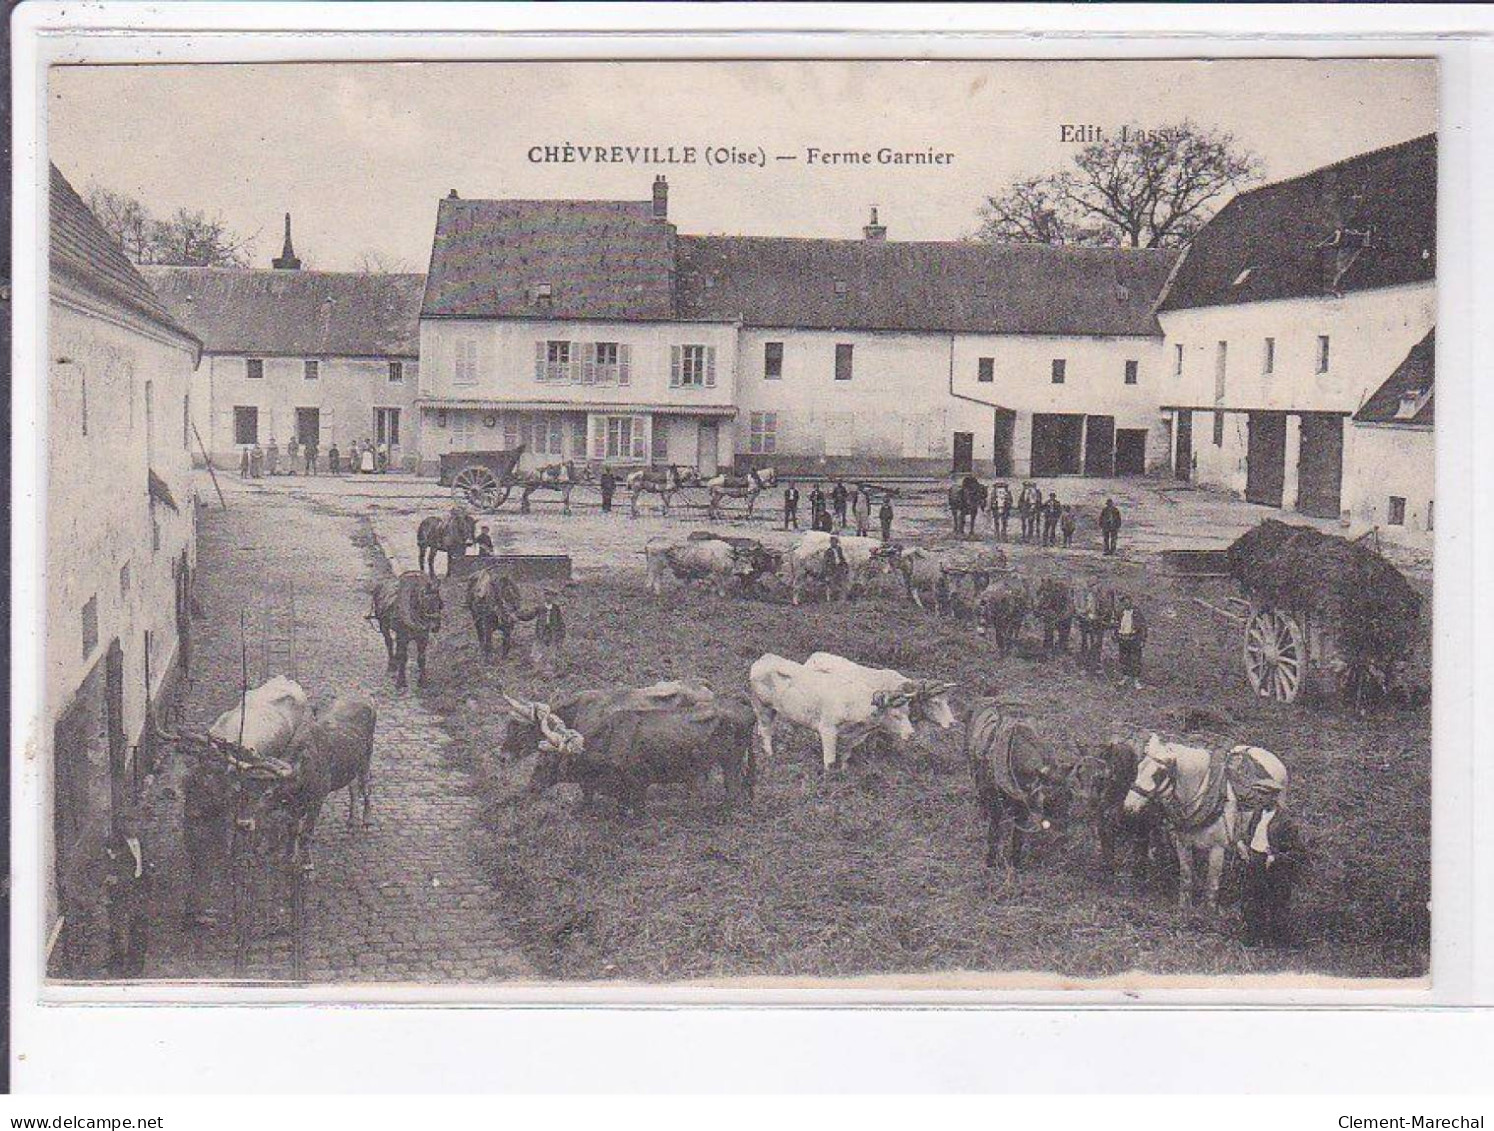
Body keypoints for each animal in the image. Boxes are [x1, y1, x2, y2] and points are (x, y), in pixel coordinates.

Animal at [752, 648, 914, 770]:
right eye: (895, 715)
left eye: (908, 713)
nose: (911, 734)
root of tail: (765, 658)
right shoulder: (828, 730)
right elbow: (829, 761)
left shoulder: (852, 738)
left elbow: (845, 757)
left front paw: (843, 771)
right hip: (762, 706)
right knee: (766, 731)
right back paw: (770, 755)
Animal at [962, 702, 1081, 866]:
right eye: (1047, 799)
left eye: (1070, 797)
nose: (1062, 837)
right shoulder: (996, 805)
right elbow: (994, 831)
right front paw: (990, 861)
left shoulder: (1023, 806)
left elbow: (1018, 835)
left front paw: (1015, 861)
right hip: (975, 771)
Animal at [1123, 732, 1290, 908]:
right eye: (1139, 767)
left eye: (1158, 774)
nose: (1128, 807)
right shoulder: (1183, 843)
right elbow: (1186, 878)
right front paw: (1184, 908)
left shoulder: (1217, 849)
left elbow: (1212, 886)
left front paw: (1208, 912)